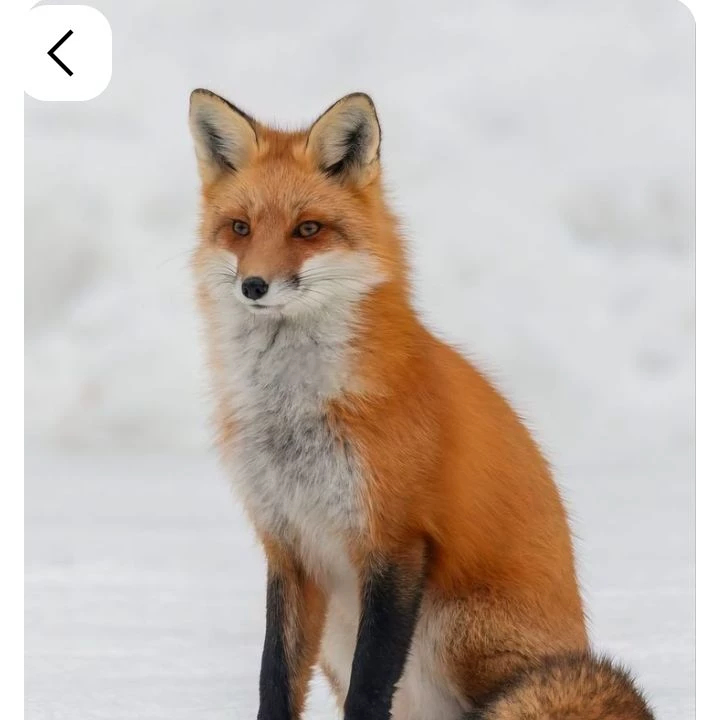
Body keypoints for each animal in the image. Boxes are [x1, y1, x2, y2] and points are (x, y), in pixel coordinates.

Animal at [188, 89, 655, 720]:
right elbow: (275, 680)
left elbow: (369, 686)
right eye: (239, 228)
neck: (297, 411)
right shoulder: (288, 546)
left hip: (451, 628)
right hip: (340, 631)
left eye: (308, 228)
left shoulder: (397, 540)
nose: (254, 286)